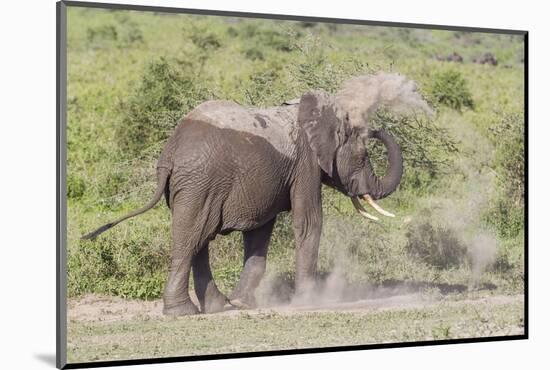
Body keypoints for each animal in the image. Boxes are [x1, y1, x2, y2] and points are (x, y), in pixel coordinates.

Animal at [82, 71, 430, 316]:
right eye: (362, 157)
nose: (374, 127)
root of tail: (171, 151)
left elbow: (260, 233)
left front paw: (243, 303)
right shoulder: (305, 164)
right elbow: (309, 222)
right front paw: (308, 301)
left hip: (193, 186)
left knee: (197, 240)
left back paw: (216, 307)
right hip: (201, 183)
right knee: (192, 238)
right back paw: (184, 313)